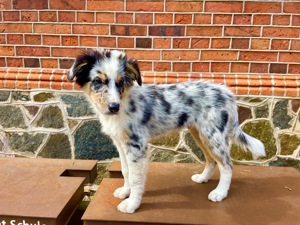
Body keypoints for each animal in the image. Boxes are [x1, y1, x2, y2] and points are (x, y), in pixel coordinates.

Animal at [68, 48, 264, 214]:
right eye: (97, 81)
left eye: (120, 82)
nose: (114, 107)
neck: (124, 103)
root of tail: (227, 92)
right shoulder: (120, 143)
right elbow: (126, 170)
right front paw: (125, 191)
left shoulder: (137, 146)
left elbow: (136, 177)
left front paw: (132, 204)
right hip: (200, 133)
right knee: (211, 160)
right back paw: (203, 178)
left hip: (213, 135)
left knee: (227, 165)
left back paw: (220, 193)